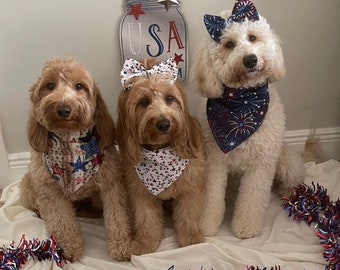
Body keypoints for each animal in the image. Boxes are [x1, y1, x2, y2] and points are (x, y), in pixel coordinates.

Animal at [19, 57, 131, 262]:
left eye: (79, 86)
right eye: (50, 85)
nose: (64, 108)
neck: (70, 142)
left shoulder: (111, 184)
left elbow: (117, 217)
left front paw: (121, 247)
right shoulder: (50, 193)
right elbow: (62, 223)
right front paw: (70, 249)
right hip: (29, 184)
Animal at [117, 57, 207, 255]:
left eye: (169, 98)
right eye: (144, 101)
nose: (164, 123)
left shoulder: (190, 187)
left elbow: (188, 214)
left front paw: (191, 238)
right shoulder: (141, 193)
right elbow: (146, 219)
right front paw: (145, 242)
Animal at [191, 1, 306, 239]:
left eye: (253, 37)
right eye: (229, 44)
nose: (250, 59)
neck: (242, 105)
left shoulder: (261, 165)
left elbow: (252, 199)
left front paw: (245, 227)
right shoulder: (214, 162)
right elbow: (211, 197)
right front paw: (207, 224)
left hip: (287, 164)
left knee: (290, 180)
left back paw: (286, 192)